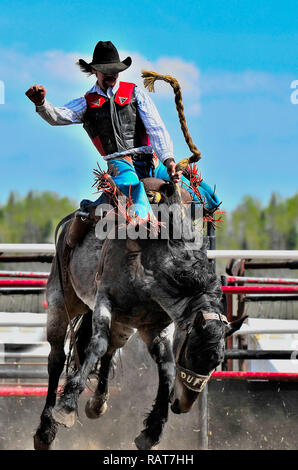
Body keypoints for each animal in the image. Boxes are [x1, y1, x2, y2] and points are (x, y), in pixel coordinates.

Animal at [33, 70, 247, 452]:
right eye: (193, 349)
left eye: (219, 360)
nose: (183, 405)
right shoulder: (105, 303)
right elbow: (95, 345)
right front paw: (67, 407)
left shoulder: (153, 326)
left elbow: (164, 368)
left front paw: (152, 430)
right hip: (62, 300)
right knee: (58, 357)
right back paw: (46, 429)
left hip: (125, 324)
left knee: (107, 352)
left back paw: (97, 403)